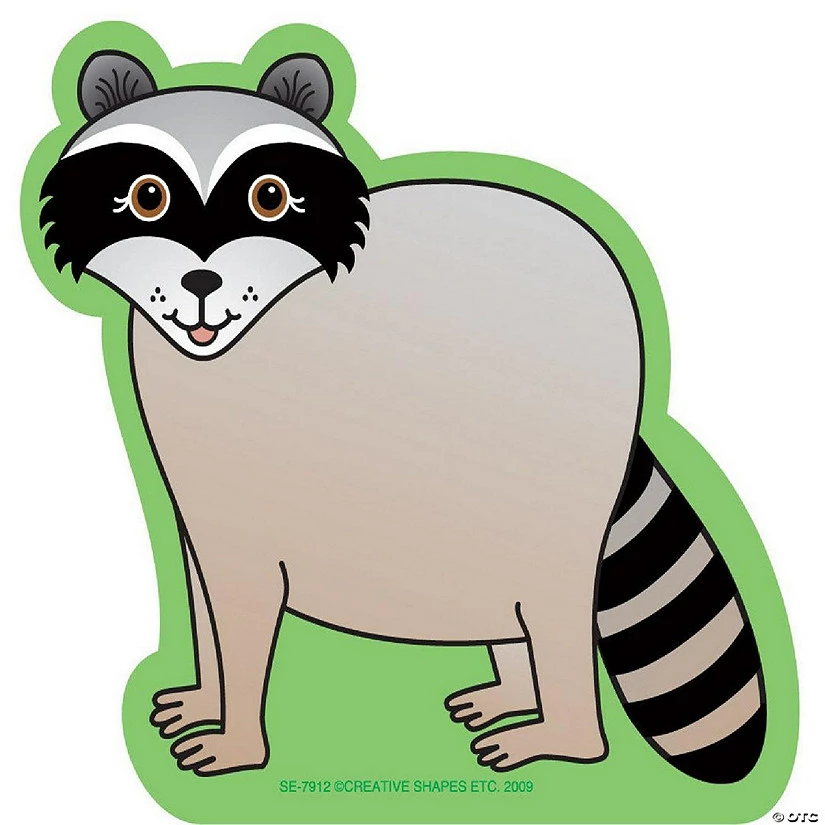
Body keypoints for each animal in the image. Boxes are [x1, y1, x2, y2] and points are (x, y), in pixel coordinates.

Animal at [38, 49, 765, 782]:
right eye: (147, 196)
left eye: (270, 197)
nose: (202, 285)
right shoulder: (200, 493)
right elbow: (207, 603)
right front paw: (207, 693)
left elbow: (243, 608)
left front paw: (239, 737)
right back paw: (514, 690)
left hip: (564, 473)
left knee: (555, 601)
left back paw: (565, 735)